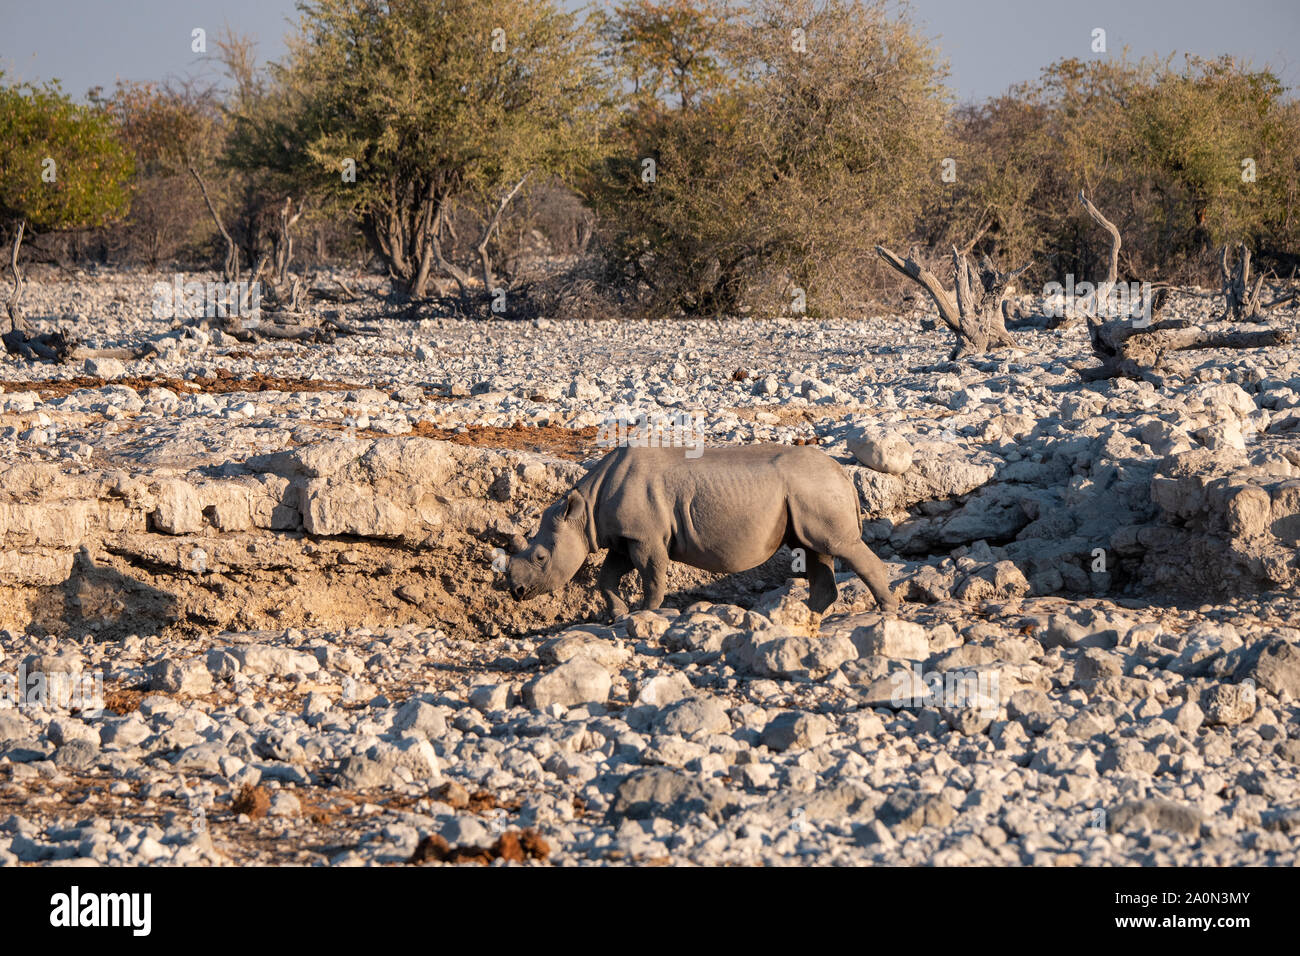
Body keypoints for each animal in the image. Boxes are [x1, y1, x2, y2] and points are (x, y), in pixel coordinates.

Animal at [504, 443, 897, 620]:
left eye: (541, 557)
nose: (516, 592)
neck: (584, 510)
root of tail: (842, 474)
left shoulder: (645, 537)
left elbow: (652, 576)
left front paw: (646, 612)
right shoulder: (623, 538)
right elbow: (607, 577)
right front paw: (618, 615)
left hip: (815, 488)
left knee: (839, 545)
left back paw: (886, 612)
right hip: (808, 493)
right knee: (816, 551)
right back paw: (800, 617)